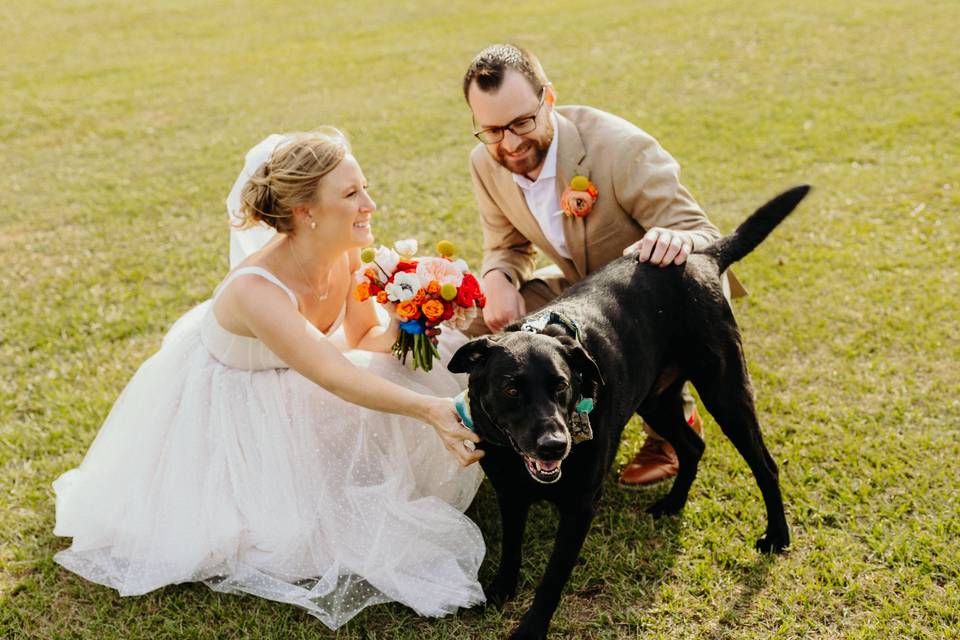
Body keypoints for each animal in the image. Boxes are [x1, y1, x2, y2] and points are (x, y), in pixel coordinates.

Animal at [450, 185, 808, 640]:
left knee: (765, 465)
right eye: (511, 389)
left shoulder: (580, 507)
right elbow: (511, 548)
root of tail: (702, 257)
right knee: (693, 446)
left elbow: (551, 580)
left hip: (725, 393)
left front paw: (530, 630)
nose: (554, 446)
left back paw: (776, 535)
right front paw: (501, 588)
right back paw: (672, 504)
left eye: (561, 385)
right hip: (657, 402)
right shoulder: (510, 494)